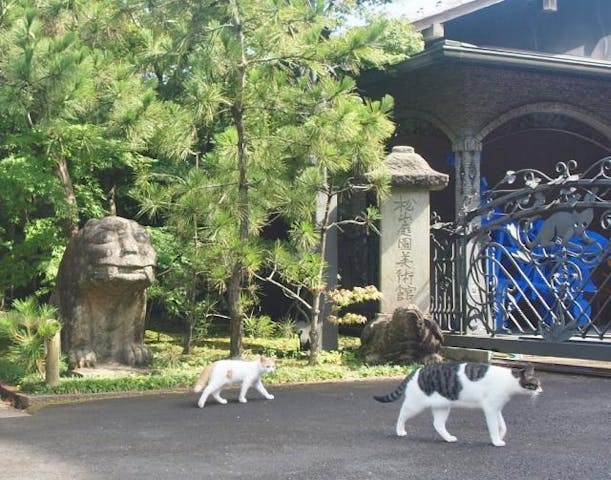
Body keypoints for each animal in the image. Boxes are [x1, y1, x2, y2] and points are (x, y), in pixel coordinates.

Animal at [376, 364, 544, 446]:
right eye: (536, 384)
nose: (541, 391)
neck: (510, 380)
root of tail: (418, 369)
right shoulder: (490, 408)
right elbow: (493, 426)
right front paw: (496, 441)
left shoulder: (496, 407)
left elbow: (503, 425)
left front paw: (501, 435)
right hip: (415, 404)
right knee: (402, 413)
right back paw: (400, 431)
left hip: (442, 406)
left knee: (438, 424)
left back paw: (448, 438)